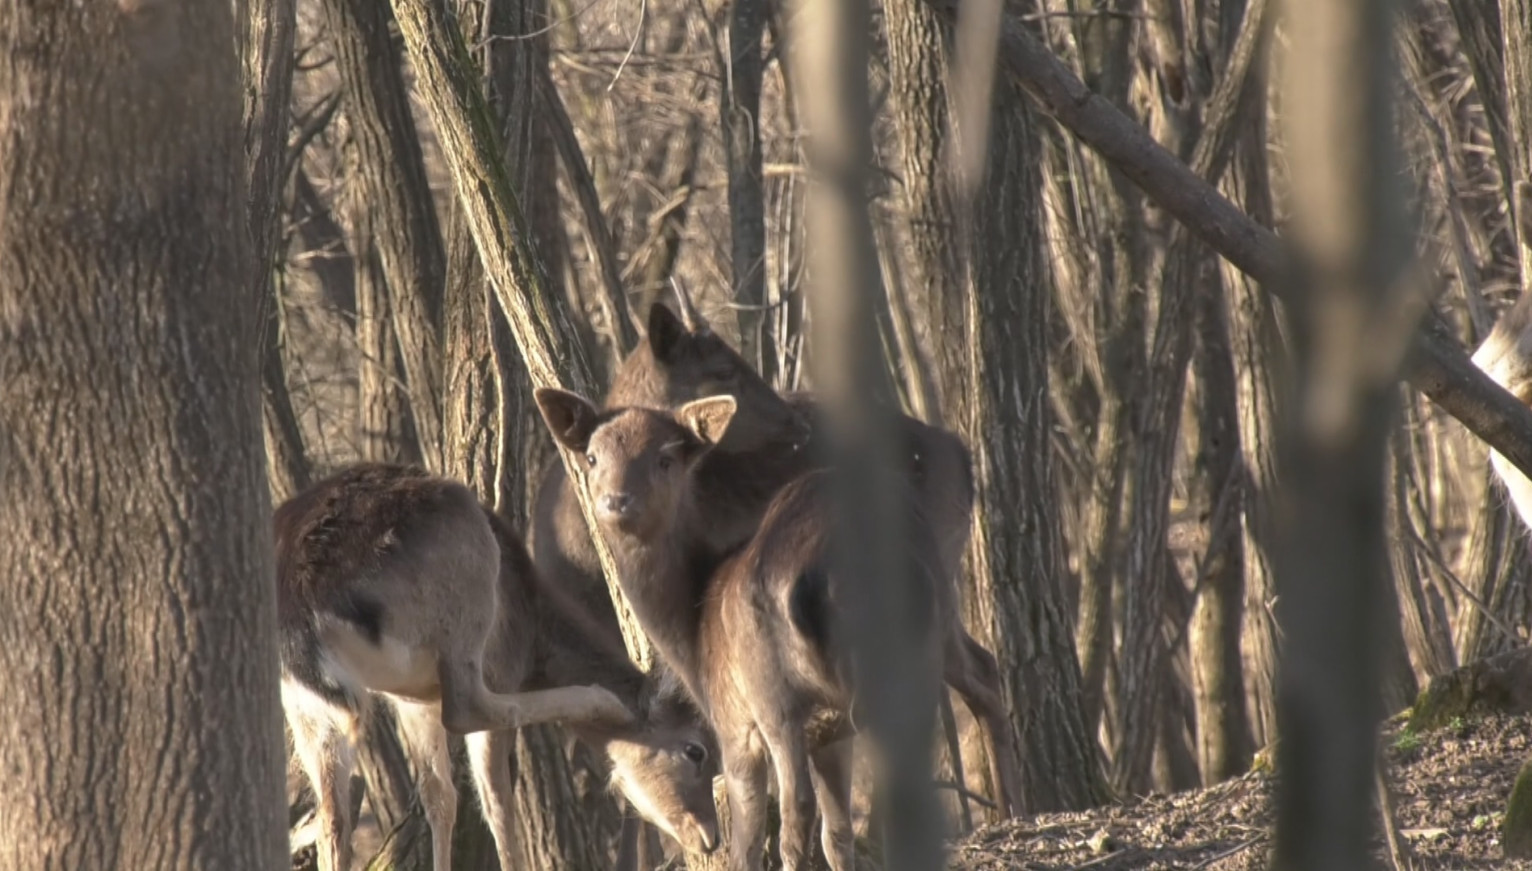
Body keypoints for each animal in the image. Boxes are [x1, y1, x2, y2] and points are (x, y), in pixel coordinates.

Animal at [274, 462, 716, 869]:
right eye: (695, 750)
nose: (709, 836)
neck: (535, 633)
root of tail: (300, 604)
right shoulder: (497, 666)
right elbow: (498, 804)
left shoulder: (410, 699)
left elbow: (440, 798)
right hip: (469, 596)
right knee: (468, 708)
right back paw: (597, 697)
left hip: (303, 703)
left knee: (332, 818)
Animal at [533, 388, 1023, 869]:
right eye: (593, 456)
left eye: (665, 458)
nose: (616, 501)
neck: (692, 629)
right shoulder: (828, 733)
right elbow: (837, 835)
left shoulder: (734, 725)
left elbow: (749, 842)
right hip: (929, 624)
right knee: (974, 682)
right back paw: (1010, 811)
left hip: (778, 691)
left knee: (800, 805)